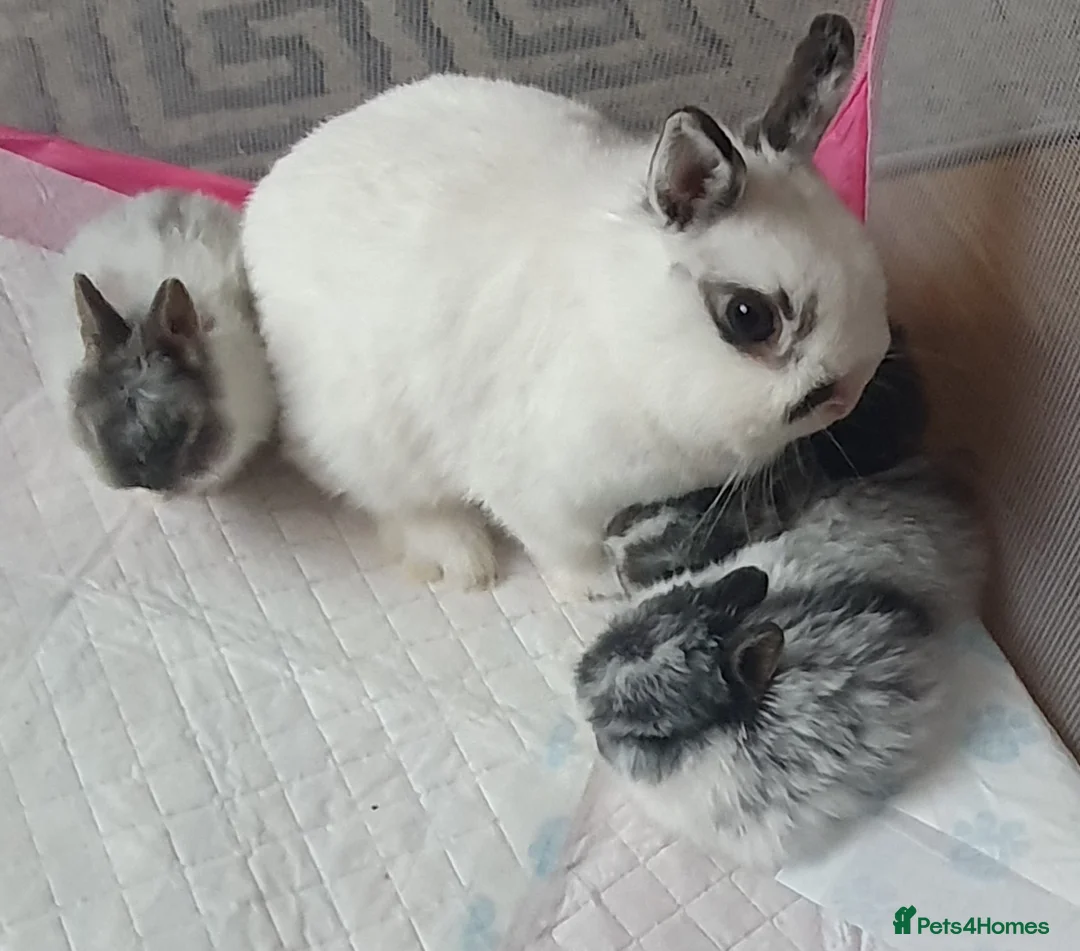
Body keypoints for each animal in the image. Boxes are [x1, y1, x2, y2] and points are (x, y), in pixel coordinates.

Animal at [241, 13, 890, 596]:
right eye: (748, 317)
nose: (846, 395)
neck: (627, 336)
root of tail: (260, 210)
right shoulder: (541, 493)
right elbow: (567, 549)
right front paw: (602, 587)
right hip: (369, 441)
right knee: (392, 499)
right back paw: (462, 559)